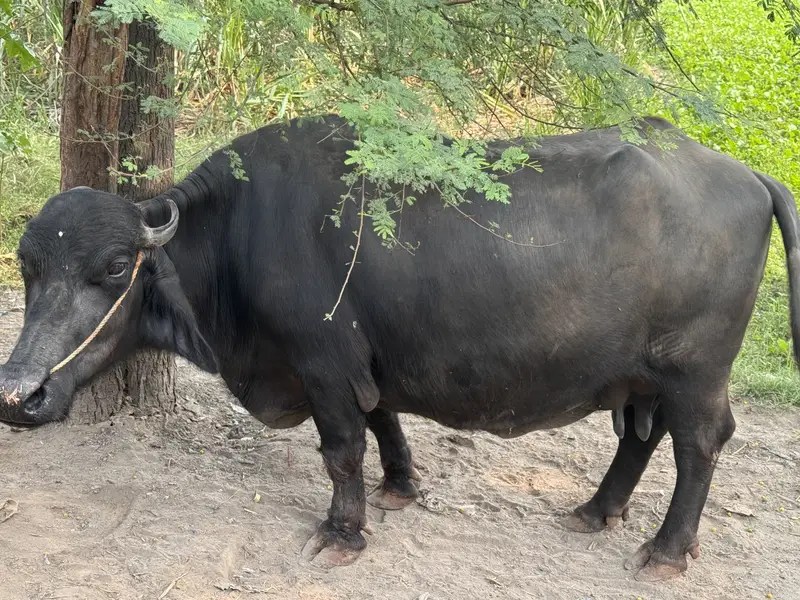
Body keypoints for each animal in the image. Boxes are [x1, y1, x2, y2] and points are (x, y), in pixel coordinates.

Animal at [1, 115, 797, 581]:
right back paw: (597, 510)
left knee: (699, 444)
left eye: (113, 269)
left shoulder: (323, 364)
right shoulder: (364, 362)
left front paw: (342, 531)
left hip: (695, 371)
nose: (19, 393)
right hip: (641, 372)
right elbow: (382, 420)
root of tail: (747, 175)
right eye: (28, 266)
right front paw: (400, 485)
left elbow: (341, 448)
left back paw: (666, 551)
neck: (239, 236)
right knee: (639, 436)